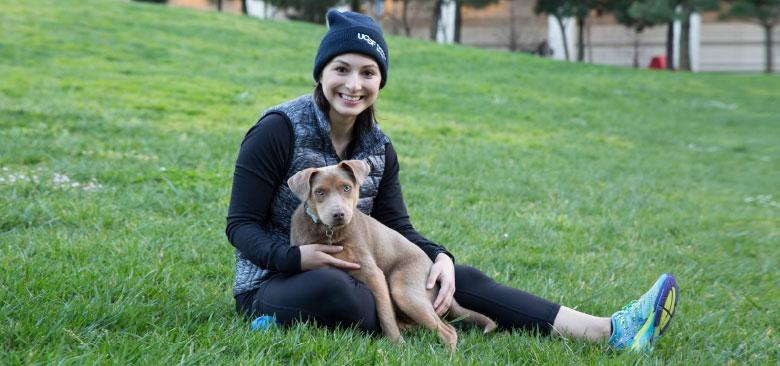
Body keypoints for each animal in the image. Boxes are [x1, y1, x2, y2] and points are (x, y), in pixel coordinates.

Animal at [290, 161, 496, 352]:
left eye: (346, 187)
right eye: (319, 192)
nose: (338, 214)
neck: (330, 233)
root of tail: (431, 265)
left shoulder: (374, 274)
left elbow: (384, 313)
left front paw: (397, 346)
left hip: (404, 290)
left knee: (449, 331)